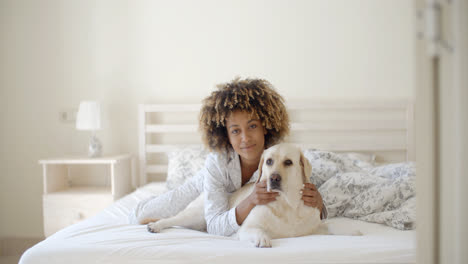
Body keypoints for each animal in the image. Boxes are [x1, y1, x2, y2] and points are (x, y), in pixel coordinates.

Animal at [148, 143, 360, 246]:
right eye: (268, 161)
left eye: (288, 162)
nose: (273, 178)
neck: (287, 205)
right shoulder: (247, 228)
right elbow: (258, 231)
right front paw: (262, 239)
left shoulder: (314, 228)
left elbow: (331, 226)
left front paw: (352, 231)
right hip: (195, 214)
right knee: (170, 219)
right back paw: (154, 226)